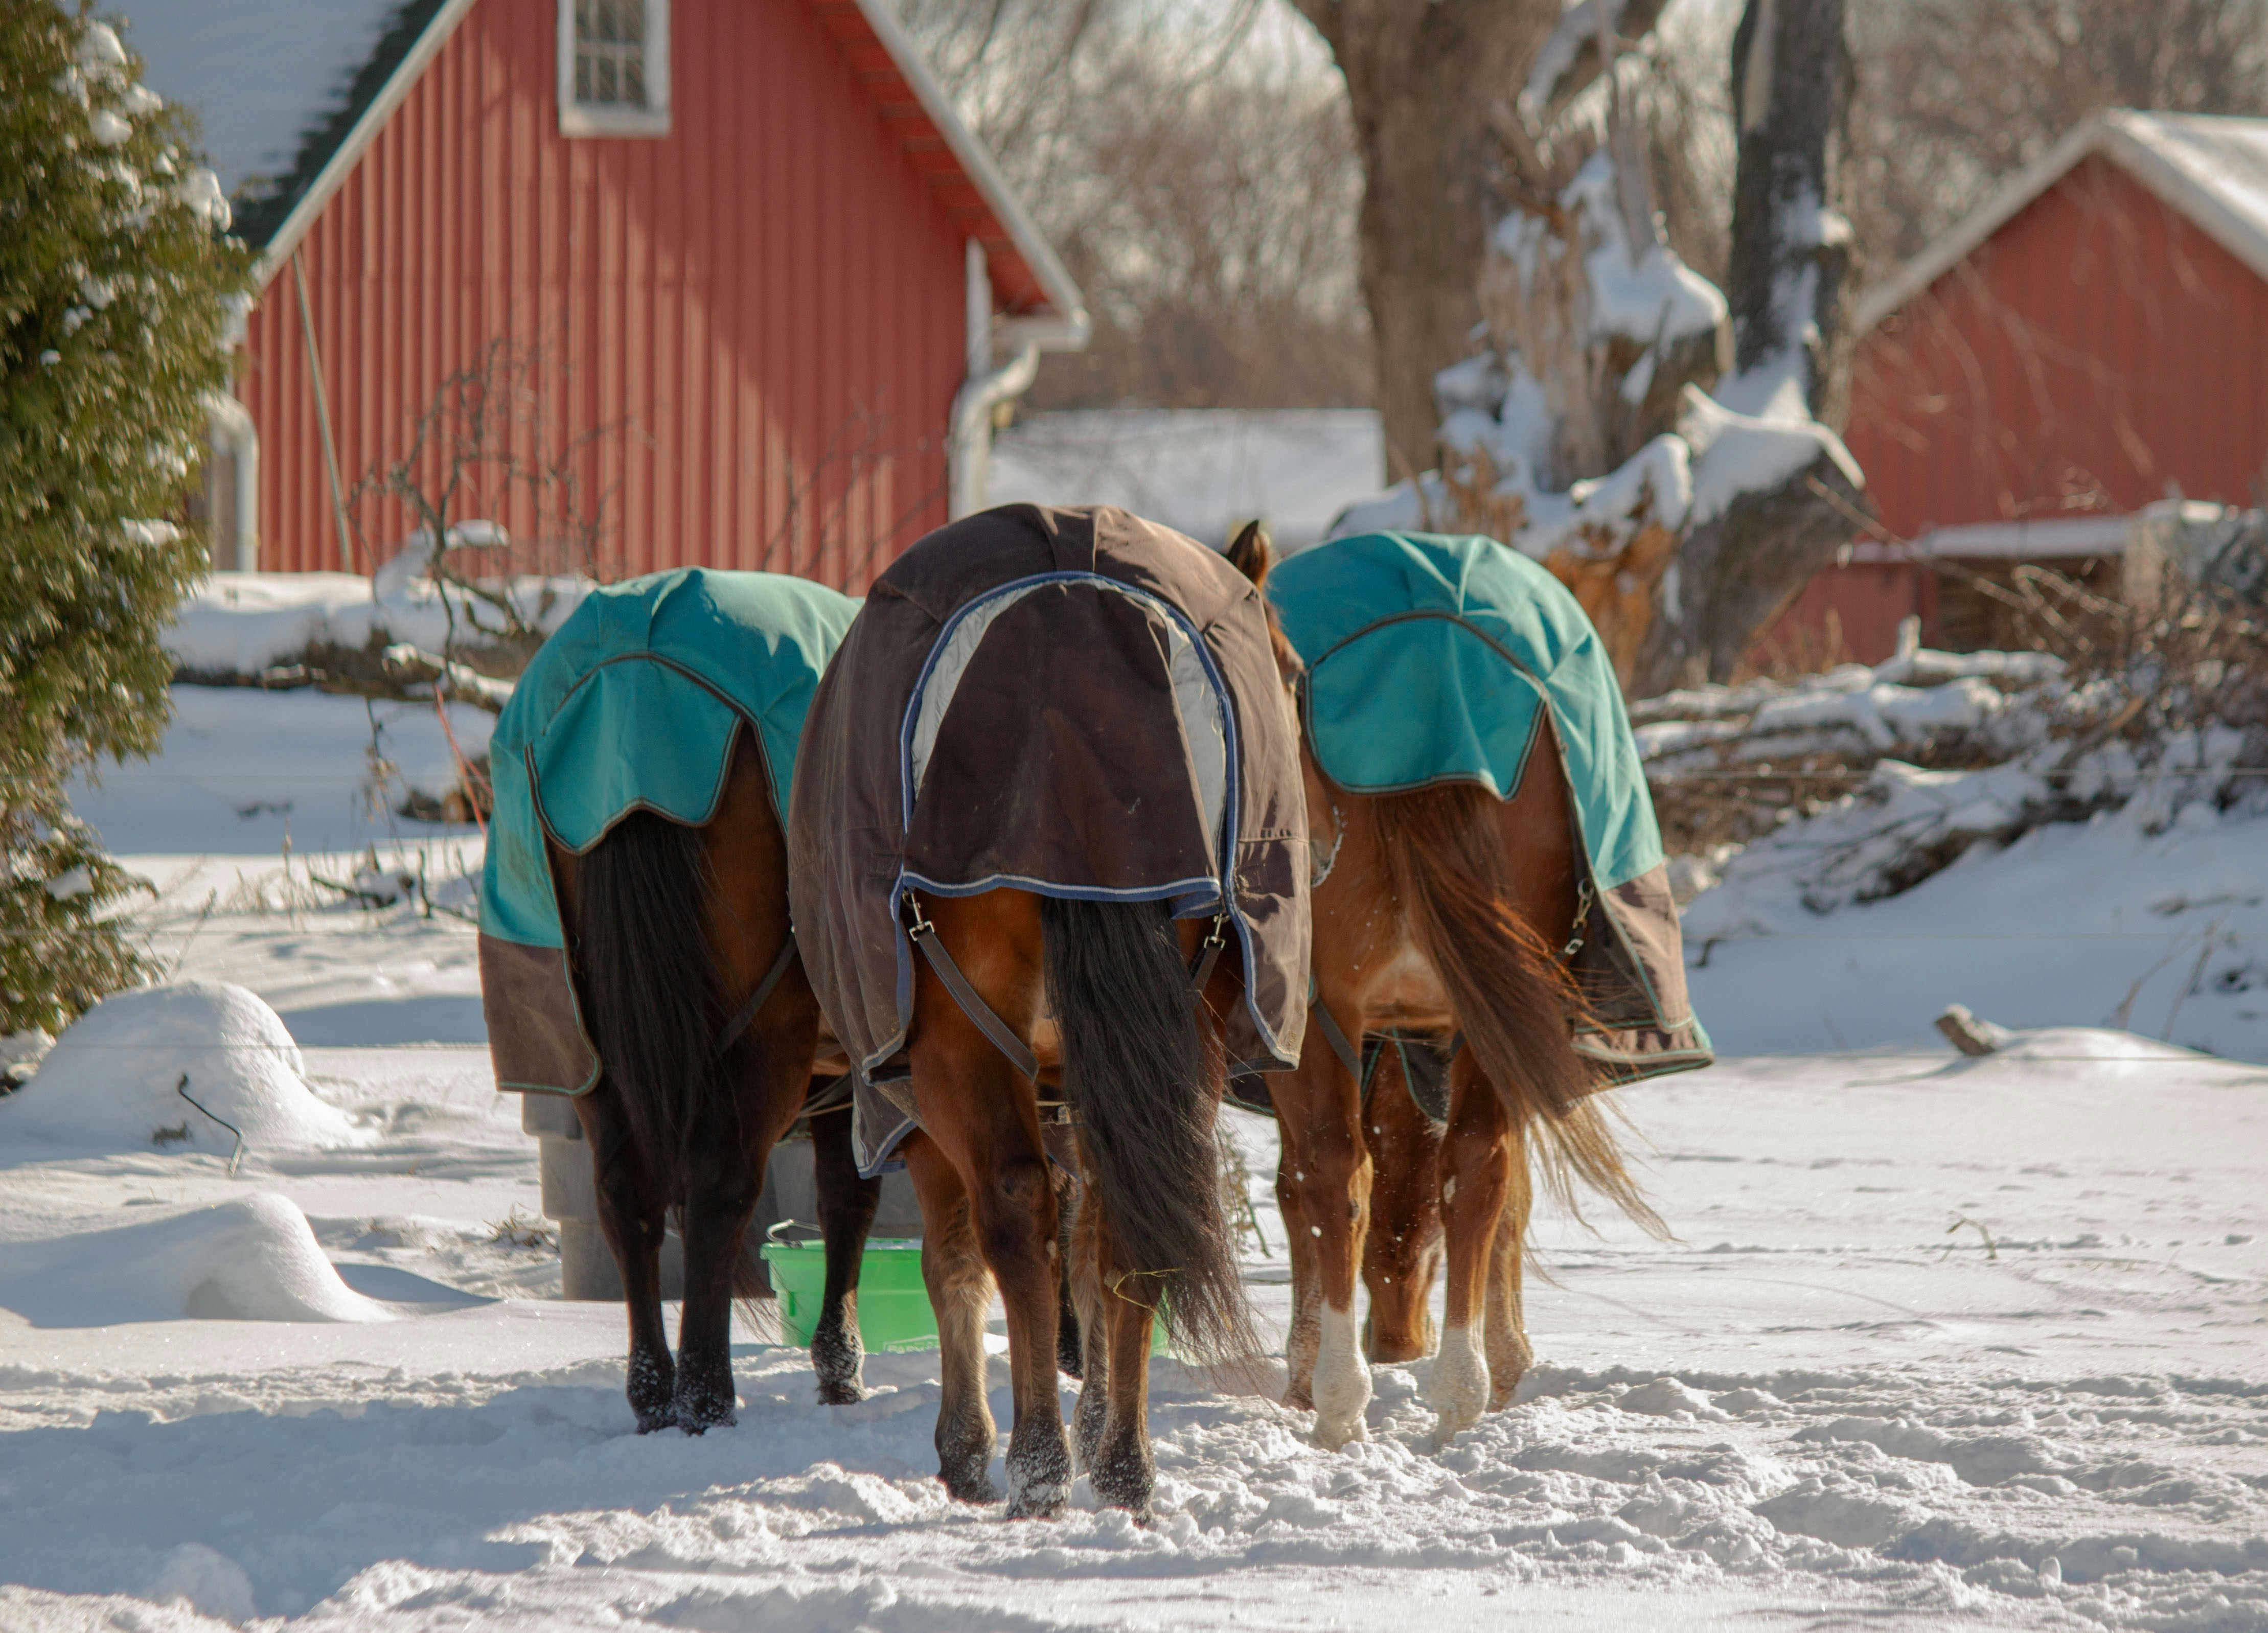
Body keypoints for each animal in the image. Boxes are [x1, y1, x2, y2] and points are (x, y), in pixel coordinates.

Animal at [789, 504, 1310, 1521]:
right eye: (1296, 673)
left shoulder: (915, 1095)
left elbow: (957, 1257)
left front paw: (968, 1447)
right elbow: (1093, 1245)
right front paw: (1098, 1421)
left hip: (956, 1047)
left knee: (1013, 1214)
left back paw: (1036, 1463)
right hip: (1177, 1040)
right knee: (1123, 1222)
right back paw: (1125, 1465)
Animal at [1224, 523, 1707, 1449]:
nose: (1397, 1335)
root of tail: (1437, 663)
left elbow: (1310, 1183)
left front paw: (1307, 1372)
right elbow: (1486, 1189)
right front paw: (1502, 1359)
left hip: (1333, 1007)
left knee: (1341, 1173)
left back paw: (1345, 1394)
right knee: (1474, 1167)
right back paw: (1455, 1387)